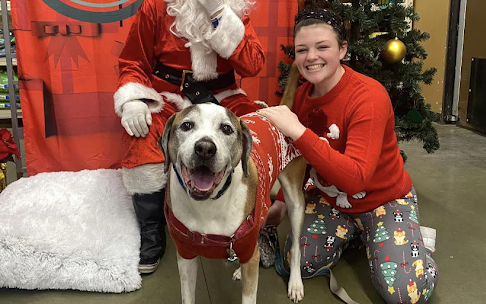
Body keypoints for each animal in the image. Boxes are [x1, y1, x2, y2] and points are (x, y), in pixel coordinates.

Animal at [160, 103, 308, 302]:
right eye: (187, 125)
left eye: (226, 129)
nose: (205, 148)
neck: (208, 204)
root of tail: (274, 108)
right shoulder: (185, 254)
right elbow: (187, 296)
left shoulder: (247, 249)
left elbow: (249, 296)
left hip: (295, 201)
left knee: (296, 246)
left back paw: (295, 283)